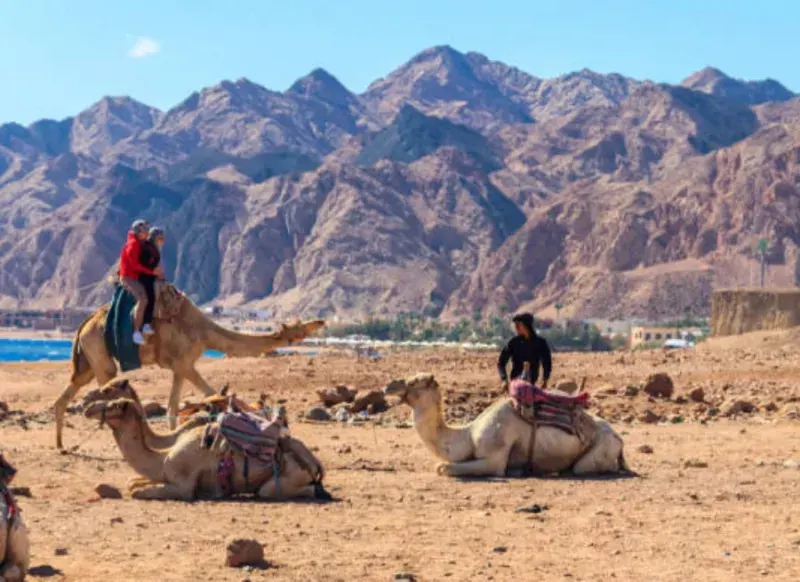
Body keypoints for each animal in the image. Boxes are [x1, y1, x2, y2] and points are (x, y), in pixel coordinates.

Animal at [54, 280, 325, 449]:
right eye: (301, 327)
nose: (320, 321)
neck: (205, 332)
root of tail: (84, 325)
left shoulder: (179, 366)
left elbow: (173, 407)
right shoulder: (184, 363)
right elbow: (211, 394)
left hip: (88, 360)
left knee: (69, 390)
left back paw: (61, 445)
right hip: (99, 352)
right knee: (104, 384)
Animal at [84, 398, 327, 501]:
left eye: (114, 404)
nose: (88, 408)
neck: (163, 459)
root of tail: (315, 463)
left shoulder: (183, 485)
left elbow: (137, 491)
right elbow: (132, 483)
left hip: (283, 479)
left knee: (271, 491)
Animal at [384, 374, 630, 478]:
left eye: (415, 382)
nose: (388, 386)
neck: (468, 434)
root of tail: (619, 438)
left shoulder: (495, 457)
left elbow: (444, 468)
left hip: (599, 451)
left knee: (583, 467)